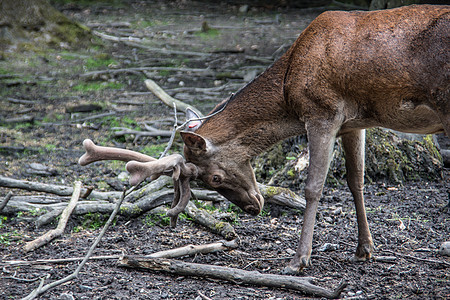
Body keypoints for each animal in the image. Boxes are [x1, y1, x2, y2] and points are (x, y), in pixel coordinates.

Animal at [79, 4, 448, 276]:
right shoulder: (354, 122)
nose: (252, 208)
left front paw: (298, 261)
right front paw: (364, 250)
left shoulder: (322, 112)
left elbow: (314, 186)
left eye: (214, 178)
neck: (288, 89)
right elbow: (356, 180)